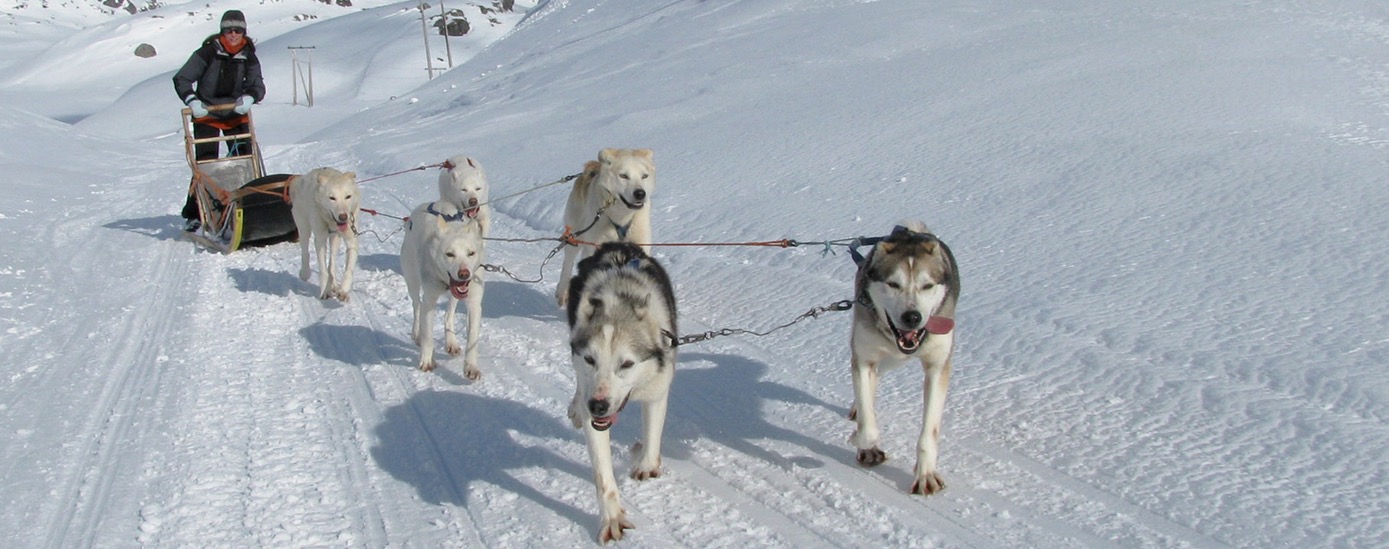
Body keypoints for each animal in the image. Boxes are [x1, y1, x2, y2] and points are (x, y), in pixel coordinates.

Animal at [288, 167, 361, 302]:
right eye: (332, 198)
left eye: (348, 196)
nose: (343, 217)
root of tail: (301, 179)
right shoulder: (320, 239)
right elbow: (322, 270)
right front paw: (325, 291)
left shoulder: (351, 239)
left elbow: (348, 270)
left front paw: (343, 290)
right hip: (304, 228)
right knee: (305, 251)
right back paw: (305, 273)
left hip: (335, 238)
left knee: (331, 263)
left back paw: (333, 284)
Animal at [400, 200, 486, 380]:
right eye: (449, 254)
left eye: (471, 253)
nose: (464, 273)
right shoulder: (429, 301)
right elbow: (428, 336)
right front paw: (426, 360)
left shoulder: (474, 303)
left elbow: (472, 339)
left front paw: (471, 366)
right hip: (412, 281)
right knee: (416, 306)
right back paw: (416, 334)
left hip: (455, 296)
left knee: (449, 314)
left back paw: (451, 341)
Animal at [561, 243, 675, 544]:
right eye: (591, 359)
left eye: (627, 364)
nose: (598, 406)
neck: (620, 301)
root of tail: (619, 246)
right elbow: (604, 477)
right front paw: (612, 518)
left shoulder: (658, 388)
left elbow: (653, 434)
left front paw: (646, 462)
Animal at [838, 220, 961, 497]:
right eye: (893, 284)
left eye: (927, 285)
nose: (912, 317)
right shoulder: (865, 359)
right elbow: (868, 427)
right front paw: (862, 441)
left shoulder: (938, 367)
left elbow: (929, 432)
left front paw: (925, 474)